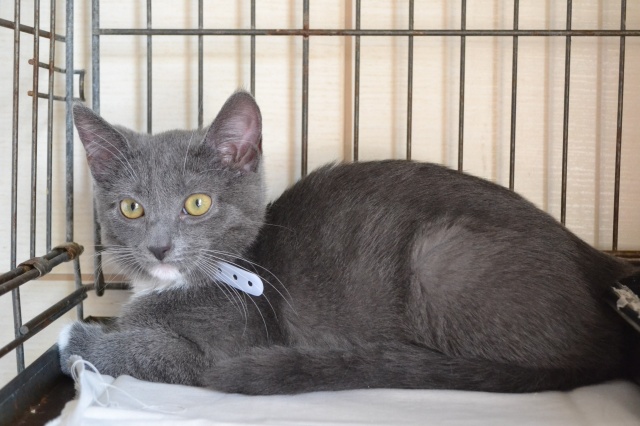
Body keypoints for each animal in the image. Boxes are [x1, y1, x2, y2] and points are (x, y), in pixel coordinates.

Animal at [59, 90, 638, 395]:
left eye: (197, 204)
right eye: (131, 208)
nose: (158, 248)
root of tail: (602, 266)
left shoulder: (230, 341)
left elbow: (154, 353)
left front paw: (76, 338)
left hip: (440, 257)